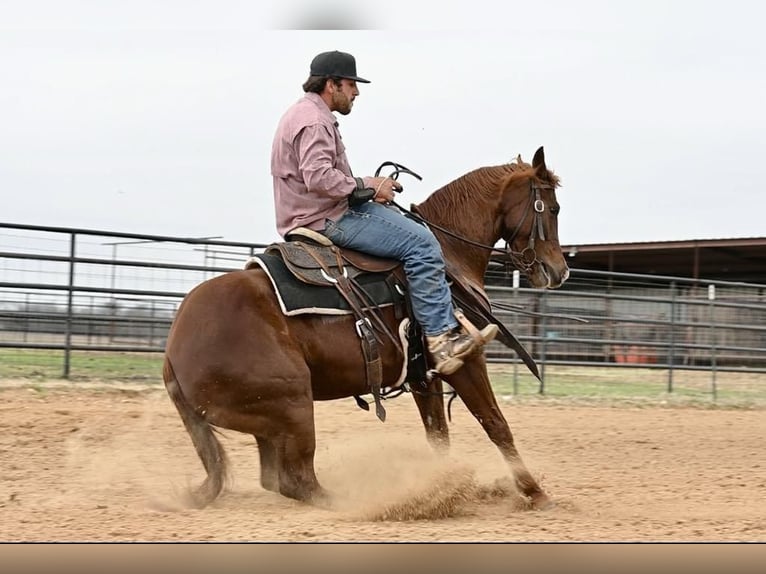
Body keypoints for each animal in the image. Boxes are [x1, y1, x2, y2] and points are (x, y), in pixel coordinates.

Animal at [162, 146, 568, 510]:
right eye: (553, 208)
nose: (559, 270)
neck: (450, 257)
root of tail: (173, 349)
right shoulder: (466, 362)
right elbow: (497, 425)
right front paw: (535, 493)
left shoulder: (424, 375)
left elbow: (438, 434)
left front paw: (445, 486)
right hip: (294, 401)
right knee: (297, 479)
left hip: (271, 419)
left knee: (277, 477)